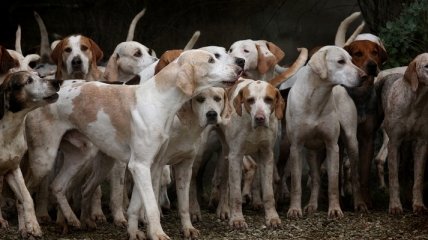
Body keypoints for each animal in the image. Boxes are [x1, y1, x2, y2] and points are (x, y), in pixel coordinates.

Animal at [0, 70, 60, 237]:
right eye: (28, 81)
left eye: (40, 75)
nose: (56, 82)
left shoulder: (13, 169)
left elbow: (27, 198)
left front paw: (32, 225)